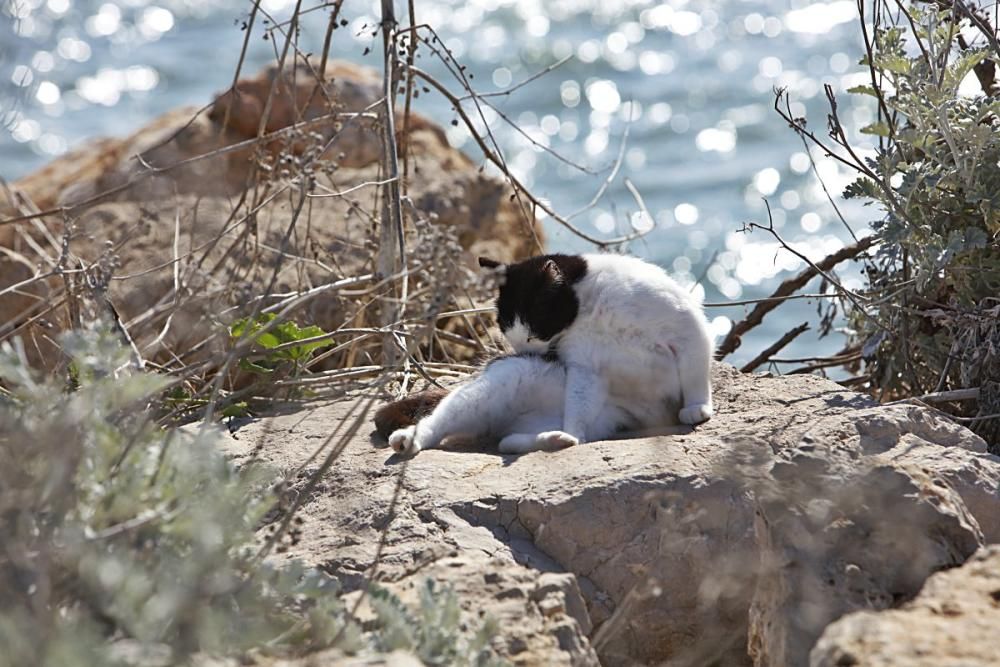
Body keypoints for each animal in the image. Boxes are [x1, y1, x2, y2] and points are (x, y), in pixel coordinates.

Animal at [378, 253, 716, 456]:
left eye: (533, 333)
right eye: (511, 337)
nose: (529, 353)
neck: (590, 311)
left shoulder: (688, 328)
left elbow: (696, 371)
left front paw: (697, 408)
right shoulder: (583, 368)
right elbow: (578, 402)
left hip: (598, 420)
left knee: (527, 440)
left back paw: (553, 439)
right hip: (496, 385)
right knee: (441, 420)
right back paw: (409, 440)